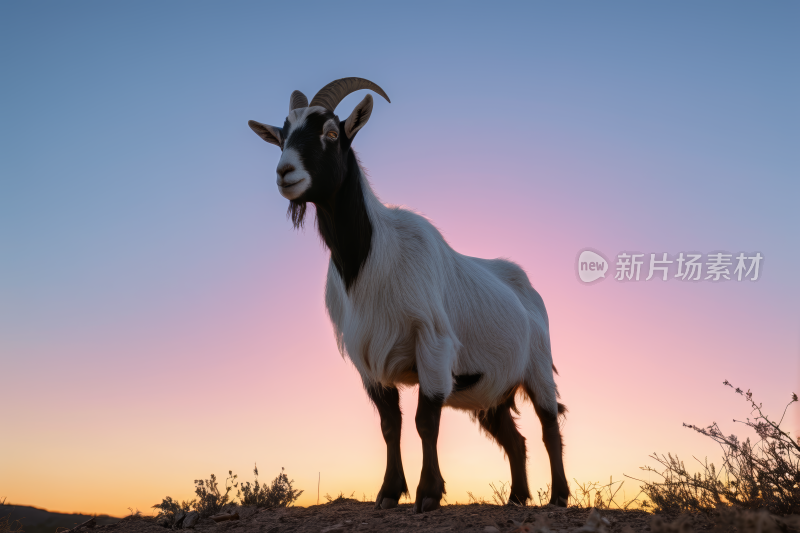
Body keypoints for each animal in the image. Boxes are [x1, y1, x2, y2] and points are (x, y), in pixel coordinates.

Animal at [248, 79, 568, 512]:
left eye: (331, 133)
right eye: (281, 138)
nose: (285, 173)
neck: (371, 259)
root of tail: (528, 288)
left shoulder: (431, 343)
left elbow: (425, 421)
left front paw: (428, 493)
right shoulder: (367, 359)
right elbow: (390, 425)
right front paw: (388, 492)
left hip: (537, 367)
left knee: (550, 426)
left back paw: (559, 497)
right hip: (491, 388)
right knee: (514, 439)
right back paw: (517, 498)